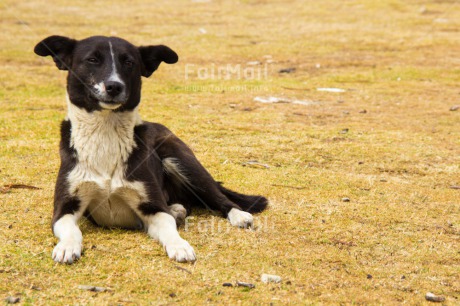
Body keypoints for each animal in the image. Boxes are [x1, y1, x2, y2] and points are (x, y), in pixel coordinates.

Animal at [34, 35, 268, 264]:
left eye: (129, 62)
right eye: (92, 59)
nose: (114, 86)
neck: (105, 130)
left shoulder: (153, 207)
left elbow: (168, 227)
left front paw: (179, 245)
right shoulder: (64, 208)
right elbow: (71, 230)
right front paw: (66, 247)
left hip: (180, 160)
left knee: (218, 198)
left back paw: (237, 215)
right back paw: (178, 209)